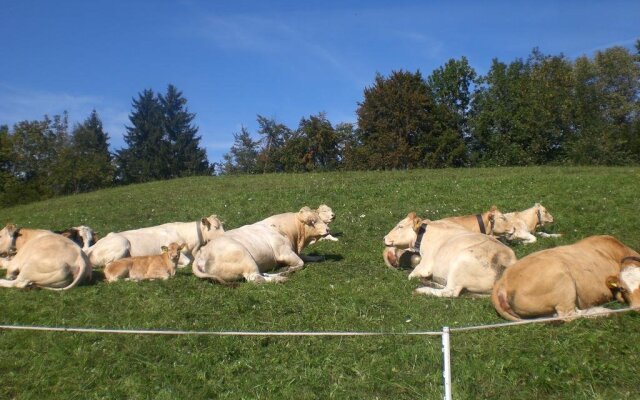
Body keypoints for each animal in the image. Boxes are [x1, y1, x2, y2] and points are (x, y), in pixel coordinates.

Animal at [191, 206, 330, 284]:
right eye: (313, 221)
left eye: (320, 218)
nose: (328, 230)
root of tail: (202, 253)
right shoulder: (284, 252)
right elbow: (301, 262)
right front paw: (289, 269)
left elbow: (306, 257)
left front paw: (318, 257)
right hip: (244, 257)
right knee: (256, 278)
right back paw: (279, 279)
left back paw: (278, 275)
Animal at [384, 212, 516, 296]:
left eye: (400, 226)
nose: (384, 237)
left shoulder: (425, 265)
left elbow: (411, 275)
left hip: (460, 262)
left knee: (450, 292)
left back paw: (423, 289)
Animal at [490, 236, 640, 320]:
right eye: (623, 288)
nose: (637, 307)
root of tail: (503, 280)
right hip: (564, 284)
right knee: (568, 315)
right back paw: (603, 312)